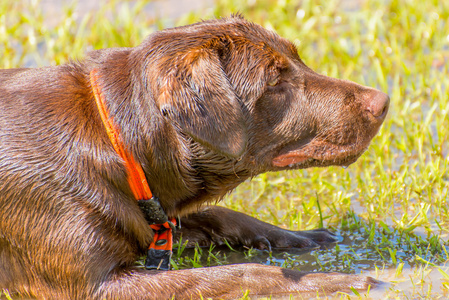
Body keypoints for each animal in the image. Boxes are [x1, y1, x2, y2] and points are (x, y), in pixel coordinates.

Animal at [0, 16, 388, 300]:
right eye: (276, 84)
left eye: (299, 59)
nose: (383, 103)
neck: (116, 141)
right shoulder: (95, 286)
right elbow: (243, 273)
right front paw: (329, 280)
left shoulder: (156, 216)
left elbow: (220, 214)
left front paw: (300, 235)